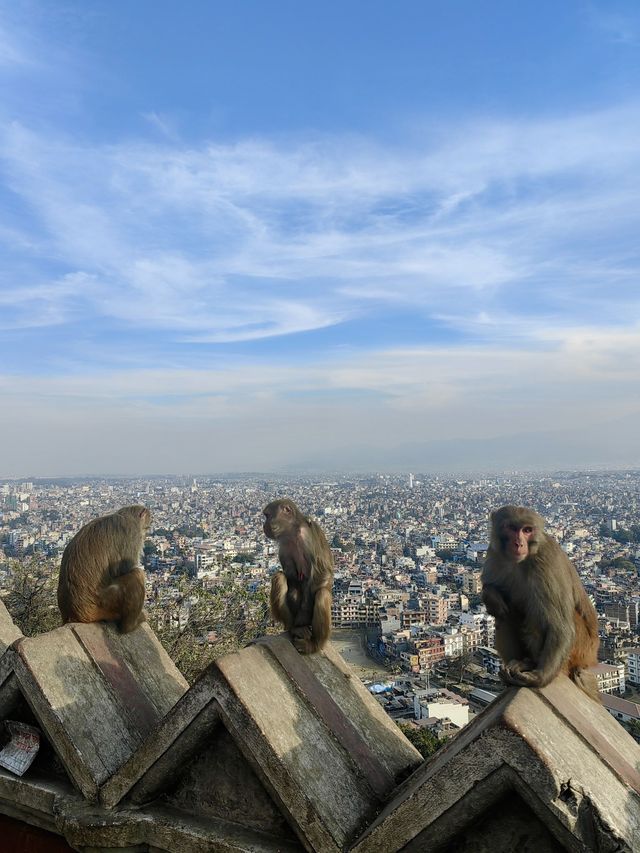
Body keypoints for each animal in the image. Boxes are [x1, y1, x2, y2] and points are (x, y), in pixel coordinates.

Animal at [262, 496, 332, 656]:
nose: (264, 525)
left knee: (322, 594)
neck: (293, 532)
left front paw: (303, 616)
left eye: (267, 515)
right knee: (279, 578)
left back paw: (313, 645)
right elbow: (291, 577)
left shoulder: (307, 536)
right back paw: (294, 628)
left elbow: (322, 571)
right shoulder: (284, 544)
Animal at [482, 506, 604, 700]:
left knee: (540, 616)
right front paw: (491, 597)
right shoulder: (494, 553)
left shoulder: (547, 562)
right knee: (505, 615)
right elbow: (490, 588)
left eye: (527, 530)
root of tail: (592, 658)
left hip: (580, 648)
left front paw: (540, 677)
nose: (518, 543)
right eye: (510, 527)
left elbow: (560, 626)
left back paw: (530, 664)